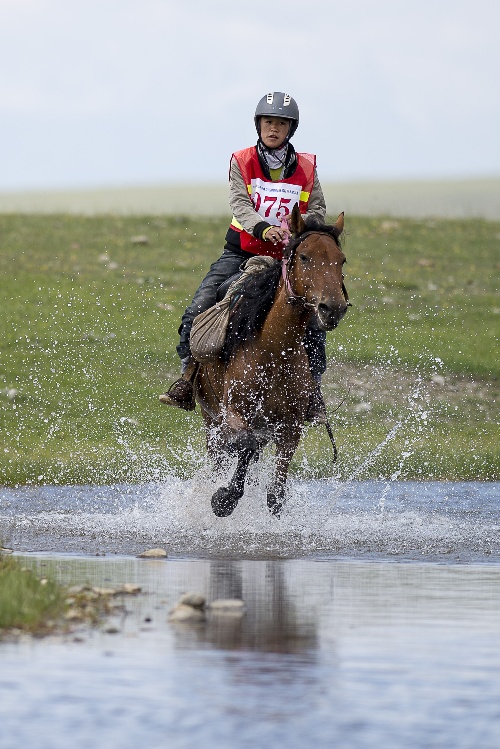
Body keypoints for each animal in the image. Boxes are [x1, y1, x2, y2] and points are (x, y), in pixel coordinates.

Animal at [193, 205, 350, 520]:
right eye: (304, 257)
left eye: (341, 260)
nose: (333, 308)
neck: (274, 353)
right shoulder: (235, 414)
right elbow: (245, 444)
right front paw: (223, 498)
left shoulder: (290, 428)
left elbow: (275, 494)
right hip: (210, 418)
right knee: (221, 456)